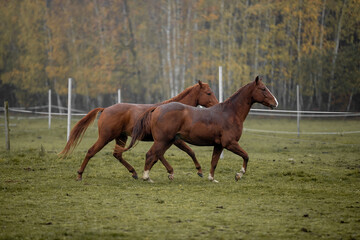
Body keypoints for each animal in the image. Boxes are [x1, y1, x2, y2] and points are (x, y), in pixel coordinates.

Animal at [59, 80, 218, 180]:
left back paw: (134, 172)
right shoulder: (174, 139)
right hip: (105, 137)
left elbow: (159, 155)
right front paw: (198, 170)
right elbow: (189, 151)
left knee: (117, 154)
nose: (217, 105)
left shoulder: (166, 140)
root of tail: (105, 109)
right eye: (209, 93)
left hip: (121, 137)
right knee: (91, 152)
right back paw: (79, 175)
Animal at [121, 76, 278, 182]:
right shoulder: (230, 143)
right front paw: (239, 174)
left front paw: (211, 178)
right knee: (150, 154)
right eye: (263, 89)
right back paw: (146, 177)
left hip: (168, 141)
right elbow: (246, 156)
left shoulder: (219, 145)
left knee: (156, 155)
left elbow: (214, 162)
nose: (275, 102)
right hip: (162, 140)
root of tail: (157, 108)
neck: (230, 113)